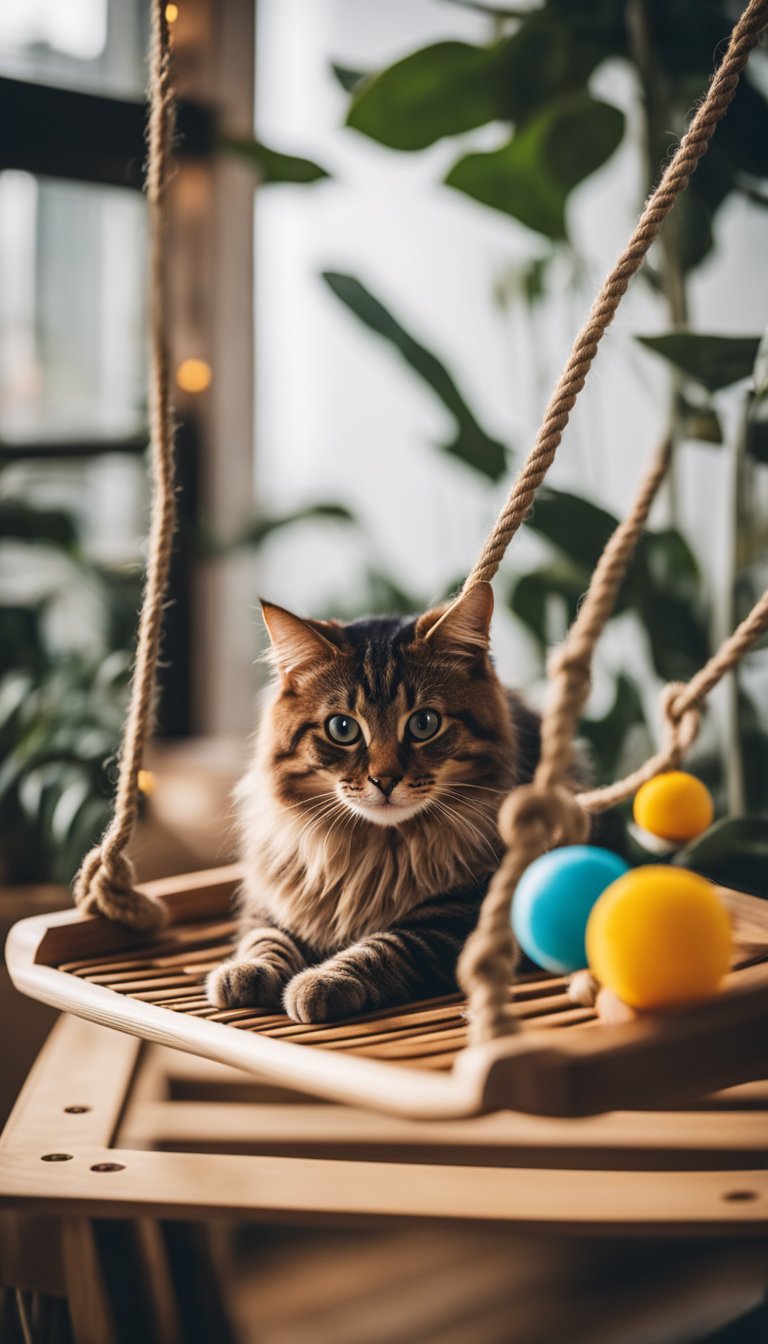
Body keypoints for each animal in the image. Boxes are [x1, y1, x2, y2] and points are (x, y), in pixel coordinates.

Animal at [205, 583, 546, 1021]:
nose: (384, 781)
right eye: (342, 728)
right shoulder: (272, 898)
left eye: (424, 723)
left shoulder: (457, 916)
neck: (372, 849)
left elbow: (382, 947)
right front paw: (245, 970)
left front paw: (322, 982)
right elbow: (264, 938)